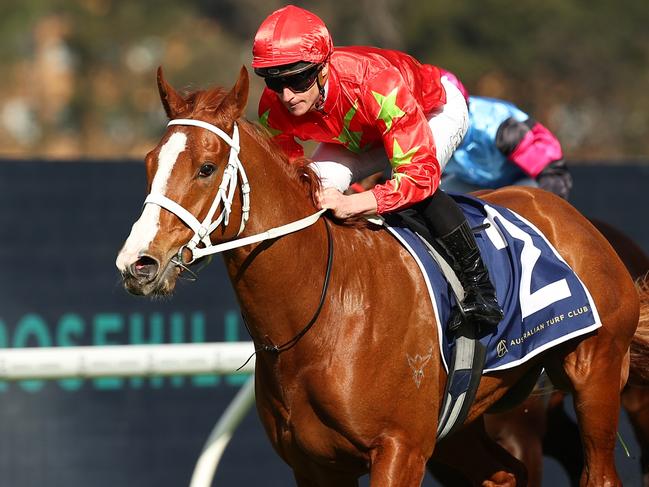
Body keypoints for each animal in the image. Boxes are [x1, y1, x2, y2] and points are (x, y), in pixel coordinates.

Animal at [116, 66, 648, 487]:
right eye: (149, 163)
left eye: (207, 168)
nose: (138, 263)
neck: (323, 315)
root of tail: (572, 217)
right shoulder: (315, 466)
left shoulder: (399, 449)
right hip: (461, 426)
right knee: (505, 475)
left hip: (595, 374)